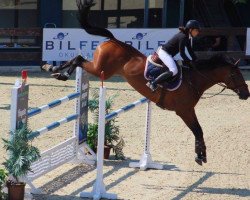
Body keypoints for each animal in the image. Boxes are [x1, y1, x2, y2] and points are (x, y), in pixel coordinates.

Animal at [42, 0, 249, 166]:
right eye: (236, 75)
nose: (246, 94)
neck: (194, 80)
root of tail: (113, 40)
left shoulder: (188, 110)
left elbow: (199, 131)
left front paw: (201, 155)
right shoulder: (184, 111)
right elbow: (198, 131)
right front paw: (200, 156)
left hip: (100, 69)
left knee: (78, 59)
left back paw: (56, 71)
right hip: (101, 70)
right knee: (78, 59)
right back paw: (54, 70)